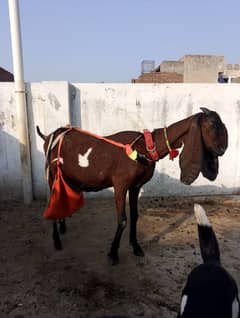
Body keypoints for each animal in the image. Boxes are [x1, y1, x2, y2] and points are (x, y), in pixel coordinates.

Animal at [36, 108, 228, 264]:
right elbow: (122, 220)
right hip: (51, 174)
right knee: (51, 202)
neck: (144, 147)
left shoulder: (135, 186)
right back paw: (56, 240)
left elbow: (135, 216)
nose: (222, 149)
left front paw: (136, 247)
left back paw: (62, 226)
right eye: (212, 124)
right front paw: (113, 254)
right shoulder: (120, 185)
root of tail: (51, 136)